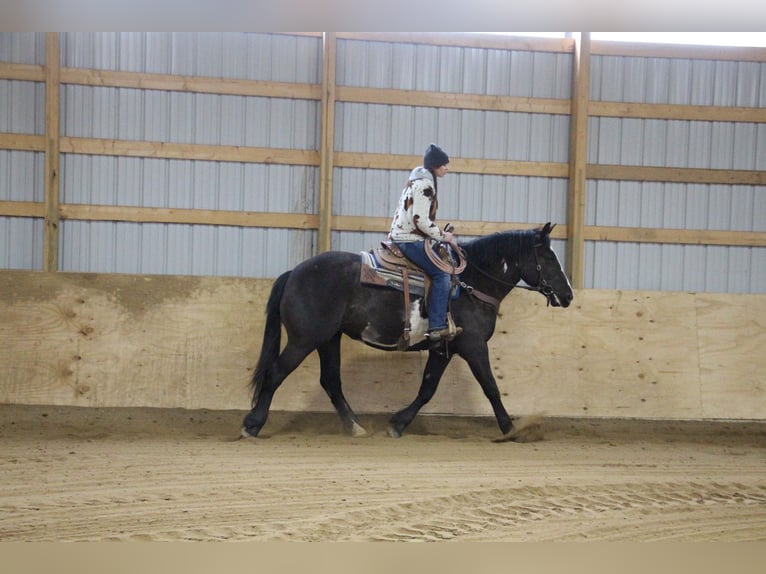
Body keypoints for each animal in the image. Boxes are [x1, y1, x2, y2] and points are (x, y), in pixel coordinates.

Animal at [243, 223, 572, 444]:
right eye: (549, 258)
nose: (568, 295)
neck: (471, 283)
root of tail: (293, 274)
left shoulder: (444, 348)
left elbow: (427, 388)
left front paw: (398, 424)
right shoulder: (474, 345)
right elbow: (490, 387)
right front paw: (511, 430)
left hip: (328, 339)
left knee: (331, 381)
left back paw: (356, 427)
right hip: (304, 340)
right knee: (276, 373)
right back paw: (252, 424)